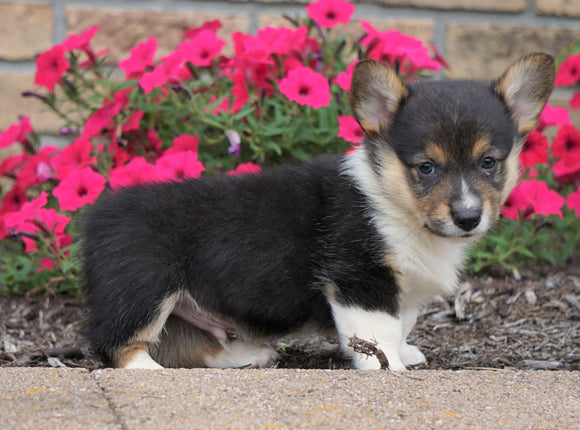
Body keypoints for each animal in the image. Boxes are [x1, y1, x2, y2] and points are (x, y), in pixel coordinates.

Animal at [79, 53, 556, 370]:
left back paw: (247, 353)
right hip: (143, 289)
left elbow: (401, 324)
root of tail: (97, 215)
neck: (396, 205)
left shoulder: (400, 289)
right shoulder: (359, 278)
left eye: (488, 163)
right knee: (117, 344)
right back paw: (149, 372)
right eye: (426, 167)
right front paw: (391, 368)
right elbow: (377, 333)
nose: (468, 217)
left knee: (189, 344)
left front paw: (405, 352)